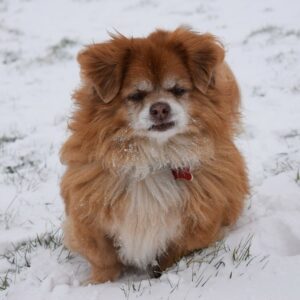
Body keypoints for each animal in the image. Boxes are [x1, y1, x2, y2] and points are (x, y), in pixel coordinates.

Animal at [60, 27, 248, 284]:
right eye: (137, 95)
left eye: (178, 90)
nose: (160, 108)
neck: (154, 157)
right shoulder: (88, 220)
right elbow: (103, 258)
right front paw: (98, 284)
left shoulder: (201, 222)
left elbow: (174, 252)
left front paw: (161, 275)